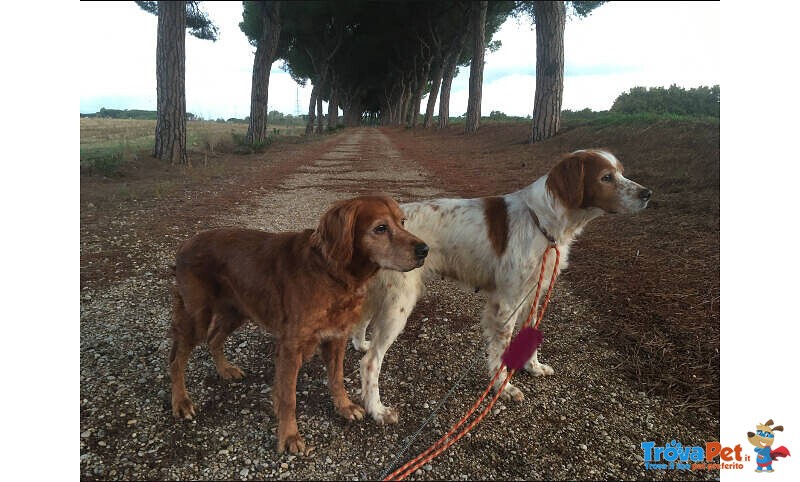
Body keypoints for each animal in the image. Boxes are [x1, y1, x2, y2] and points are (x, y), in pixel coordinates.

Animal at [169, 195, 428, 452]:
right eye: (380, 228)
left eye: (402, 222)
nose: (424, 250)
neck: (331, 273)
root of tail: (184, 245)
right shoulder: (290, 347)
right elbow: (288, 398)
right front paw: (289, 436)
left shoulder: (337, 337)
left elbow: (336, 377)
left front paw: (344, 406)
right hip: (197, 317)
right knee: (176, 358)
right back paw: (181, 402)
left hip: (236, 310)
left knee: (214, 339)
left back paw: (225, 370)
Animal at [354, 149, 652, 424]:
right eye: (606, 177)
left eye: (621, 172)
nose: (647, 193)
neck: (543, 220)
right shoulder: (507, 303)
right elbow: (502, 349)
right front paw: (504, 387)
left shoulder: (532, 296)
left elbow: (529, 338)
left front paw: (533, 367)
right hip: (399, 302)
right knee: (371, 363)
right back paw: (377, 410)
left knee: (361, 332)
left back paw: (362, 345)